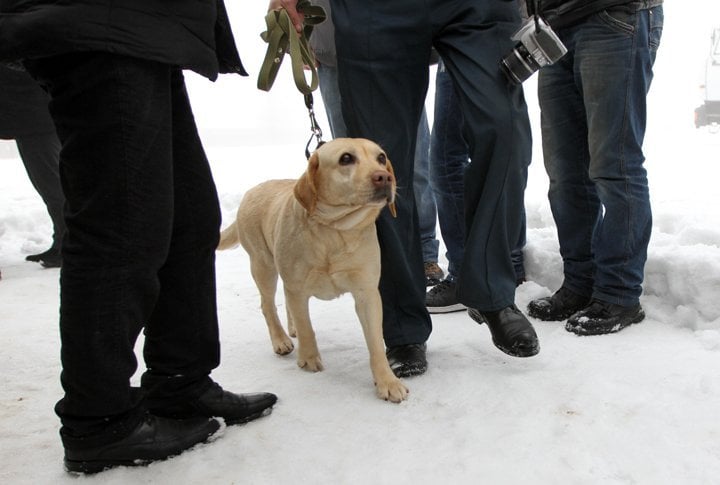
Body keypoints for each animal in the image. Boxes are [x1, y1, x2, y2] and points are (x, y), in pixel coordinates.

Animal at [219, 138, 408, 402]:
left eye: (381, 158)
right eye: (346, 158)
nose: (384, 177)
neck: (335, 231)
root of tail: (252, 190)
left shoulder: (367, 292)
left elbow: (375, 343)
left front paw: (387, 381)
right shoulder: (297, 287)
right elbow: (307, 327)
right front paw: (308, 359)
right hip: (263, 265)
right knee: (268, 305)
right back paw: (281, 339)